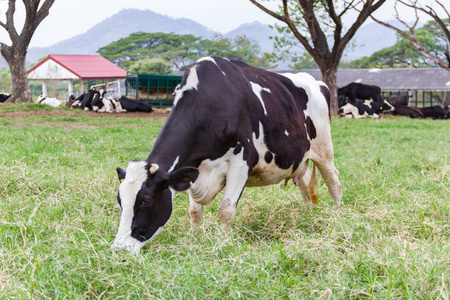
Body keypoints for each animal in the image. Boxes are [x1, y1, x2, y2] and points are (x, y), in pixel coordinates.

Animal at [111, 56, 342, 253]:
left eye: (145, 201)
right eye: (120, 200)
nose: (119, 249)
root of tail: (316, 82)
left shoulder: (241, 163)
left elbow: (226, 210)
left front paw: (221, 242)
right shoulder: (195, 168)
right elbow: (195, 213)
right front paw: (195, 238)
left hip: (324, 149)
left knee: (334, 183)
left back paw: (338, 216)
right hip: (298, 161)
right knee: (306, 189)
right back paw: (308, 216)